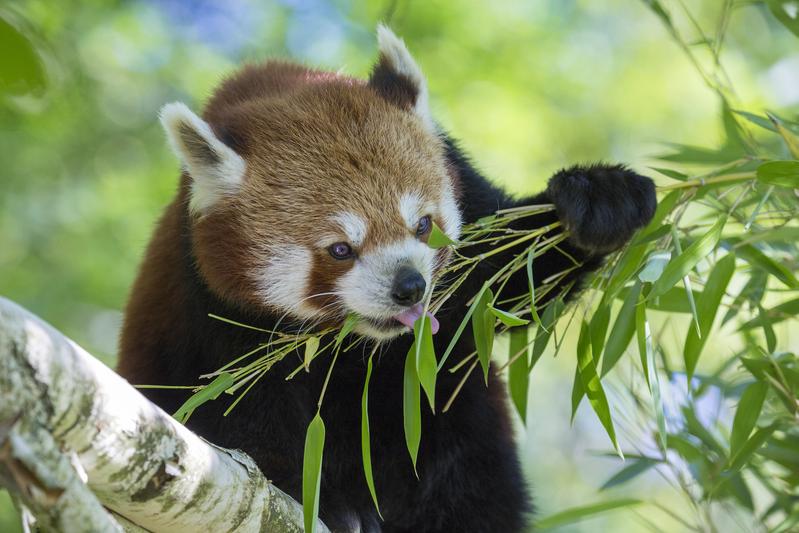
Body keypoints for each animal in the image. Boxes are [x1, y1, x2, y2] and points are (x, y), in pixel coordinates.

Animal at [119, 22, 656, 528]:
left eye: (423, 226)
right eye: (340, 249)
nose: (410, 287)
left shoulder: (464, 190)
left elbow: (513, 284)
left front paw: (600, 199)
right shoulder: (207, 303)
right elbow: (243, 420)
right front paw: (324, 502)